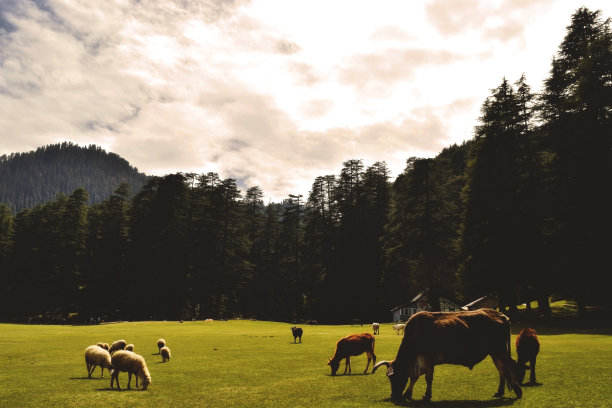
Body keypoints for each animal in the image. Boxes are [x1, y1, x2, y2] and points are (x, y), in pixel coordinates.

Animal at [372, 310, 520, 400]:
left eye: (393, 377)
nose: (393, 395)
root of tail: (502, 315)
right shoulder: (420, 361)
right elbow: (414, 377)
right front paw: (408, 393)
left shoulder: (428, 357)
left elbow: (428, 377)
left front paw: (427, 395)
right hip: (494, 353)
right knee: (502, 370)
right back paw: (500, 391)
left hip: (499, 350)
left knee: (511, 365)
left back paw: (518, 390)